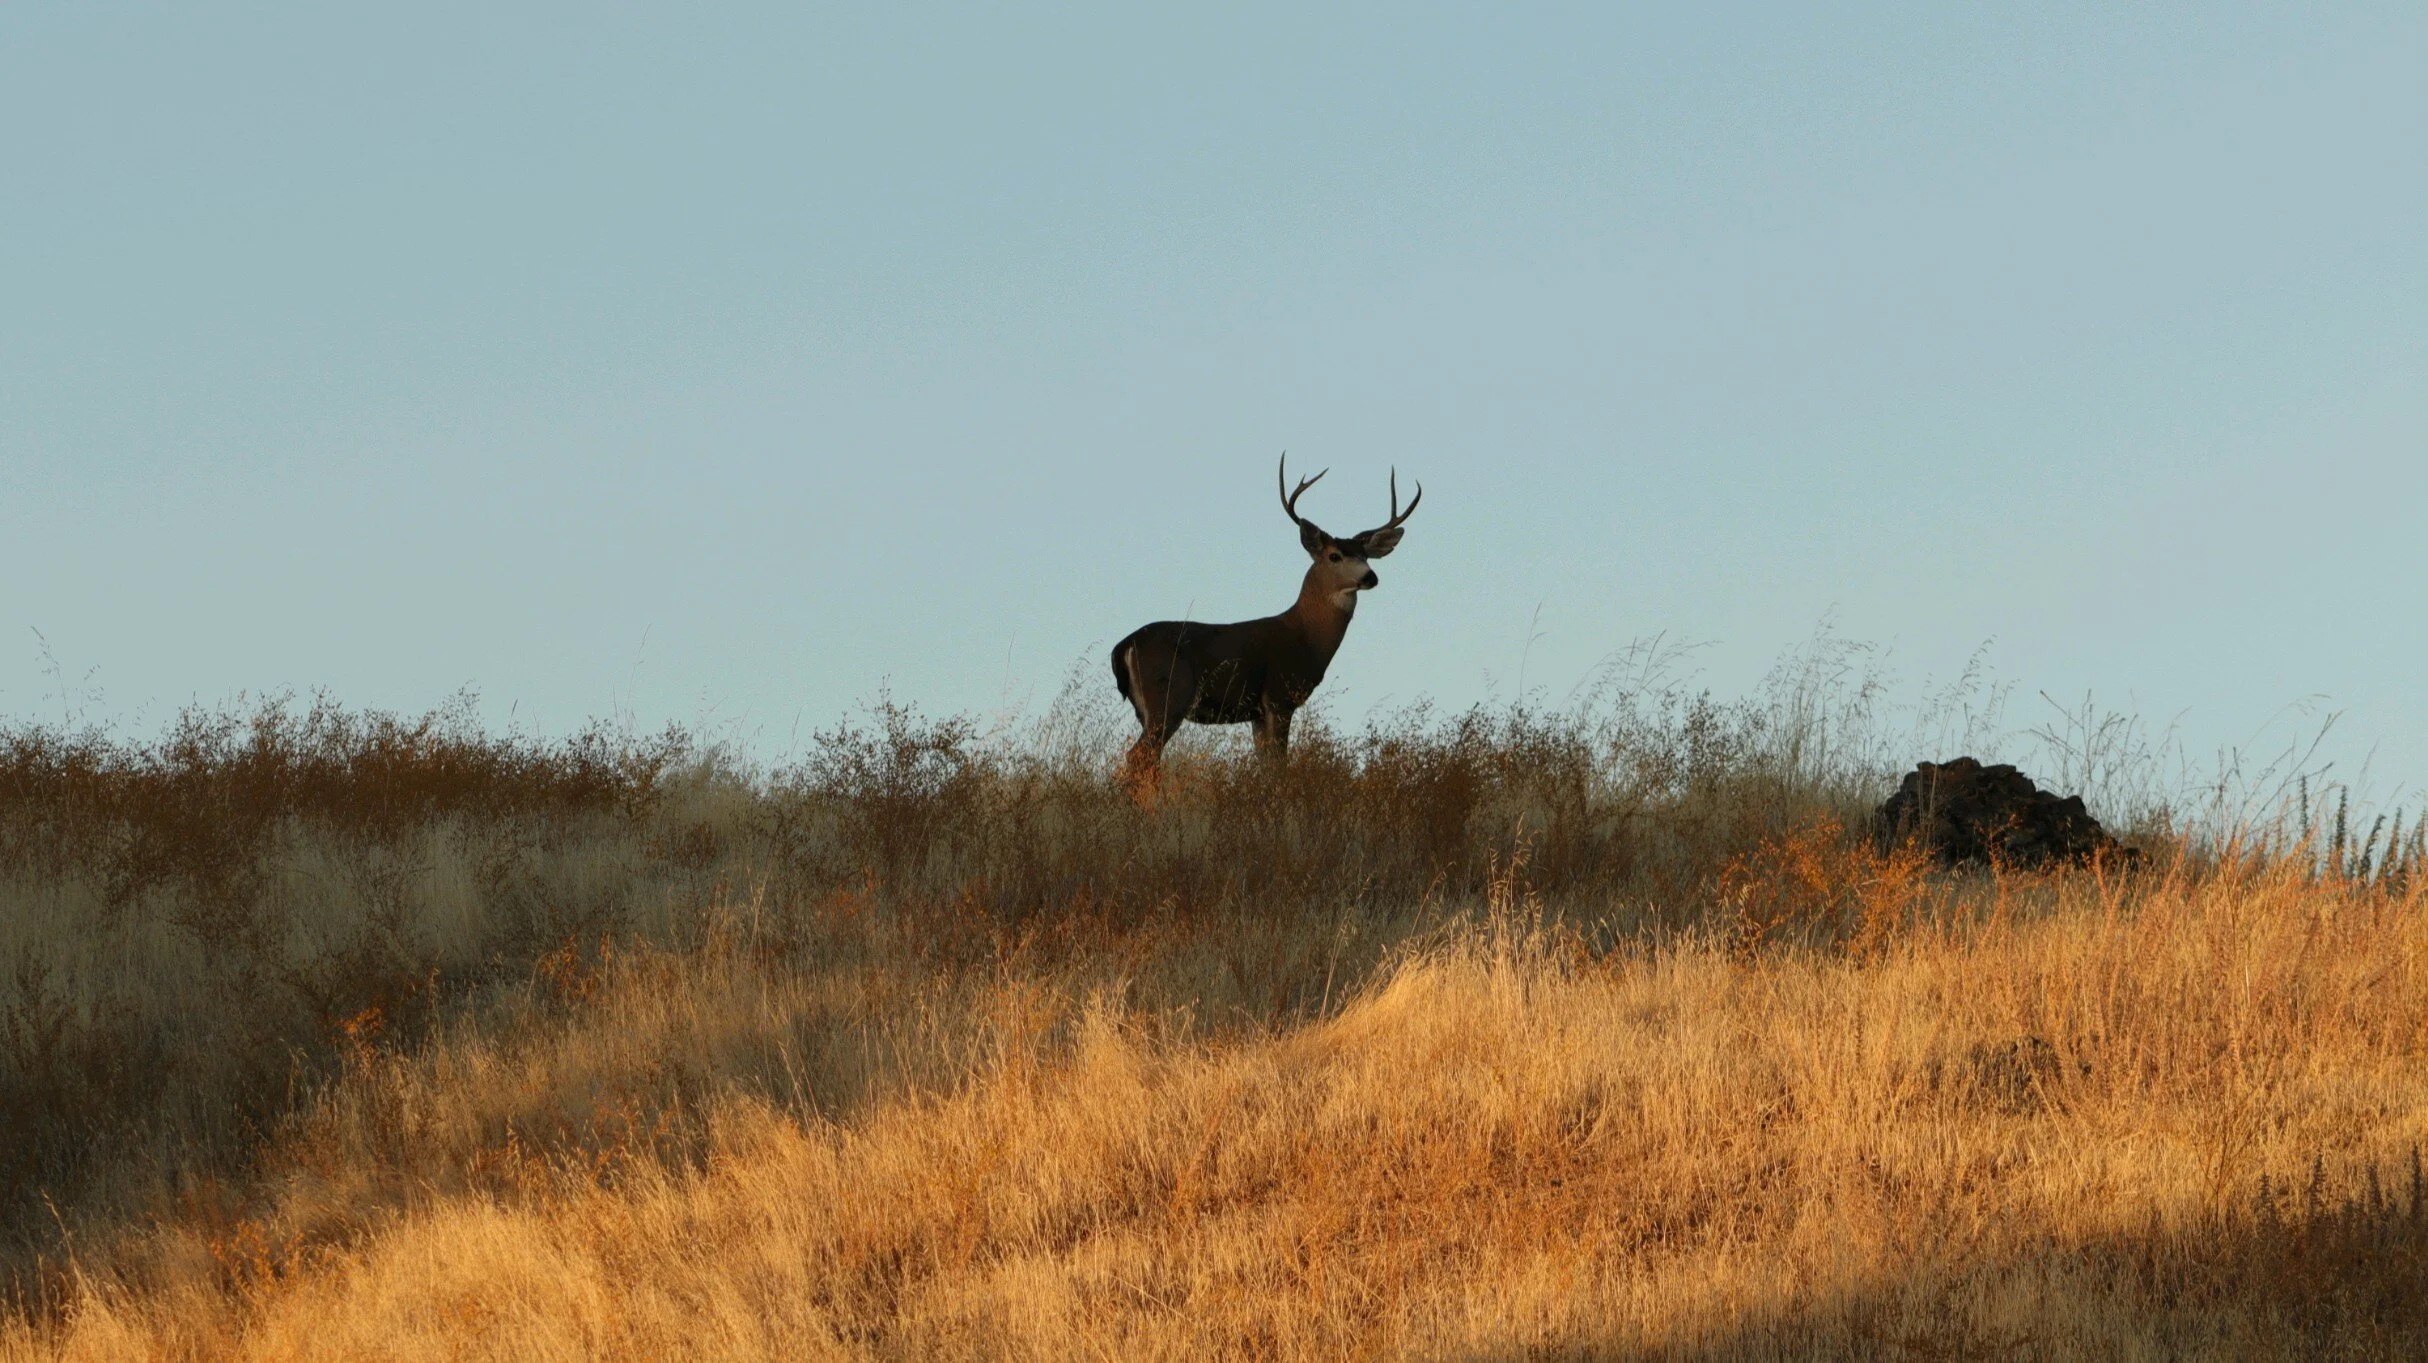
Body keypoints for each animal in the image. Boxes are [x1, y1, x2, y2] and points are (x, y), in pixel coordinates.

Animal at [1111, 455, 1420, 794]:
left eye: (1366, 556)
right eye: (1334, 555)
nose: (1370, 577)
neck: (1306, 636)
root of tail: (1124, 646)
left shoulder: (1256, 712)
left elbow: (1265, 768)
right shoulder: (1279, 696)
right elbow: (1280, 768)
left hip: (1147, 708)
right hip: (1169, 696)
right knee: (1139, 756)